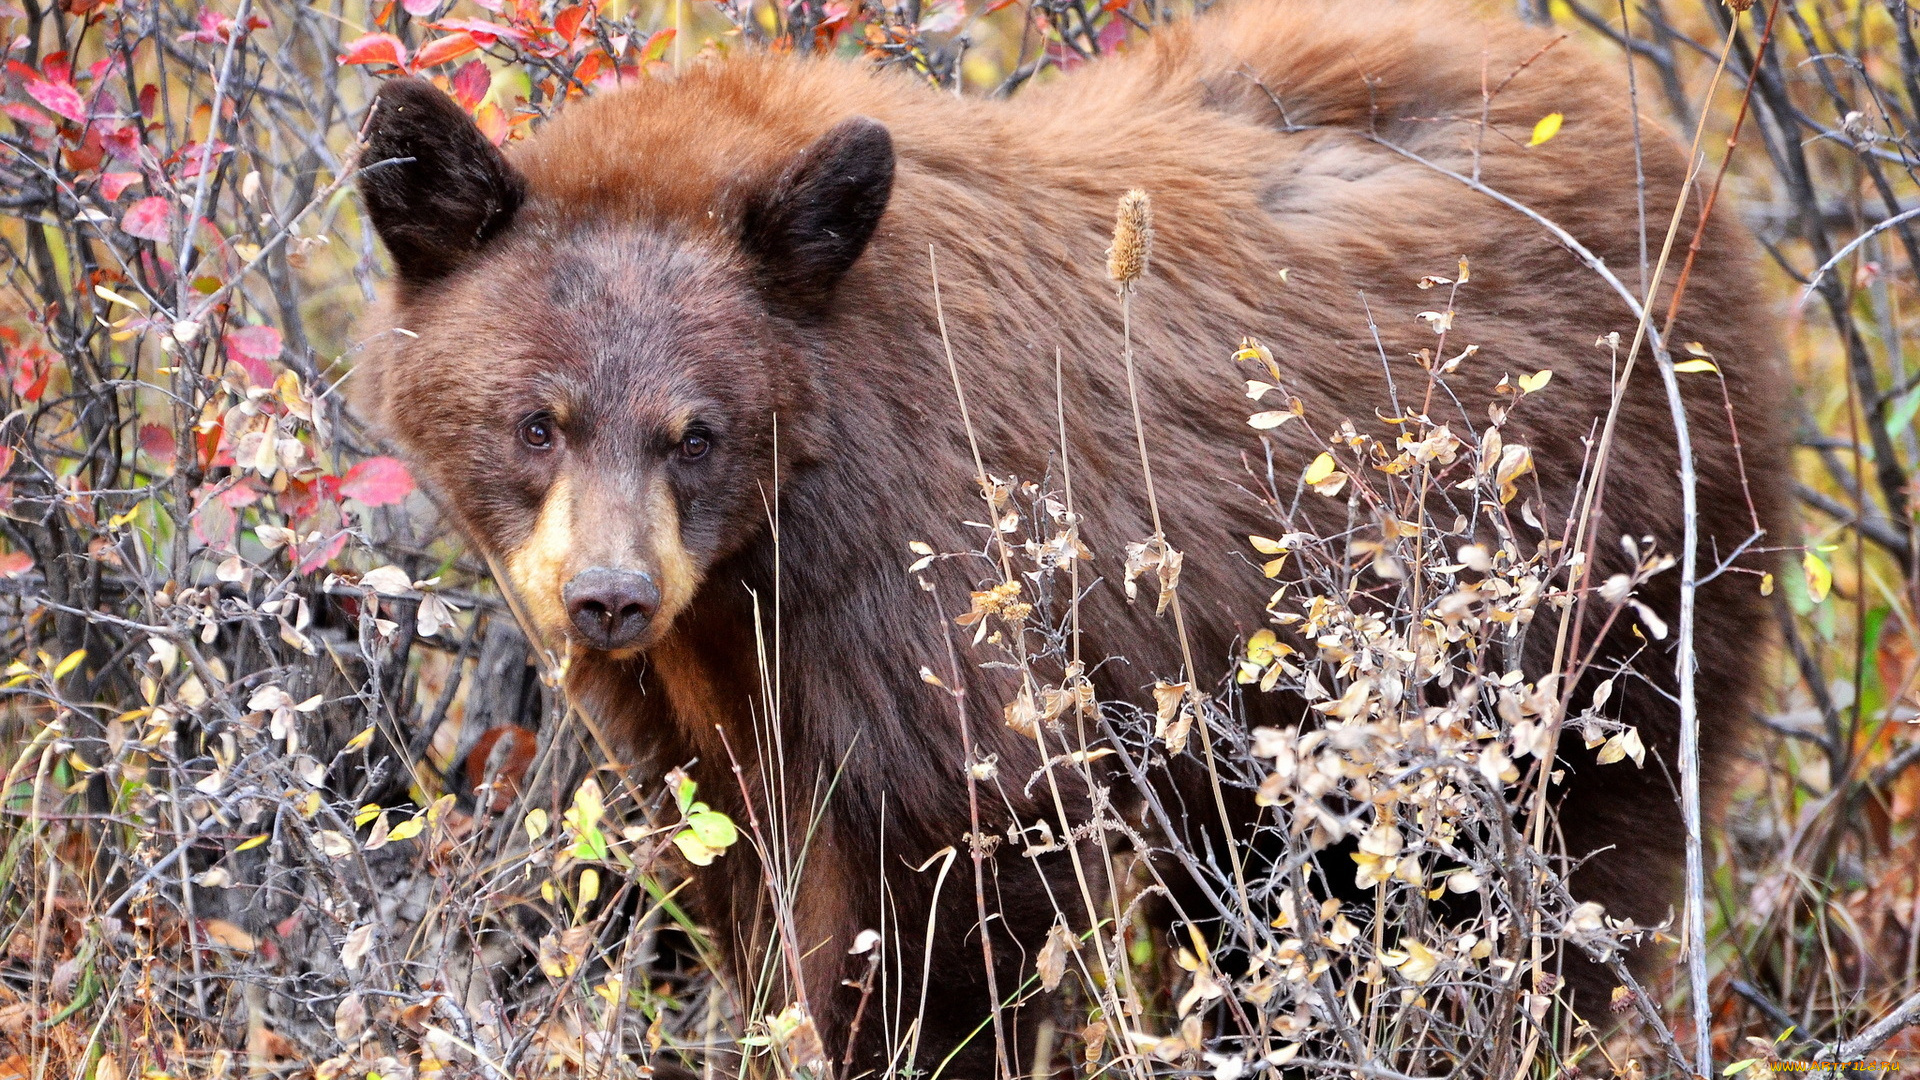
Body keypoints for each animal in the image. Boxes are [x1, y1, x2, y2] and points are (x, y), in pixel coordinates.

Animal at [353, 2, 1789, 1068]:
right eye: (536, 420)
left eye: (695, 431)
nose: (607, 596)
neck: (769, 549)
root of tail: (1661, 144)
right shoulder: (697, 697)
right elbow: (733, 862)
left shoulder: (937, 580)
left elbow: (955, 877)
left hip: (1603, 586)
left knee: (1546, 866)